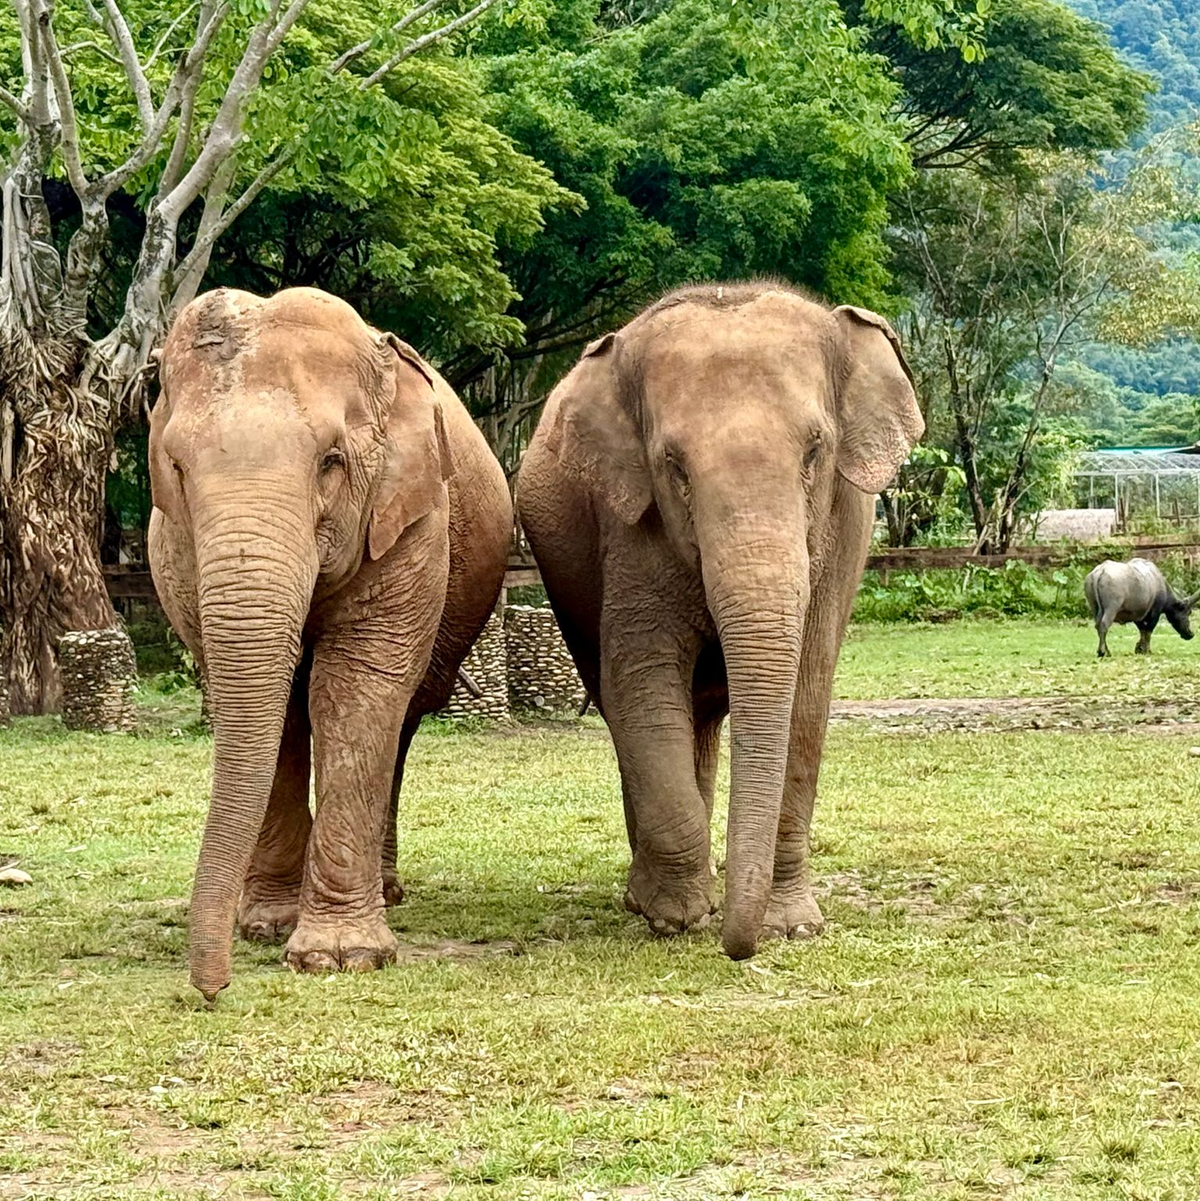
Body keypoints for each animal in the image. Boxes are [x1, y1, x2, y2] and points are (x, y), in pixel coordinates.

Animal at [148, 286, 512, 1000]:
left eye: (330, 462)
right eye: (176, 466)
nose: (211, 990)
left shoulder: (410, 521)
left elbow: (354, 690)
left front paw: (341, 958)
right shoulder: (177, 552)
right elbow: (274, 707)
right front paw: (266, 926)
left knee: (402, 719)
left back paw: (388, 892)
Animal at [516, 282, 923, 960]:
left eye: (815, 451)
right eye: (675, 467)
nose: (740, 949)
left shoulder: (843, 530)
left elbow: (807, 696)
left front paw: (792, 927)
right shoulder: (629, 529)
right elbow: (640, 686)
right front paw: (676, 918)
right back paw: (652, 896)